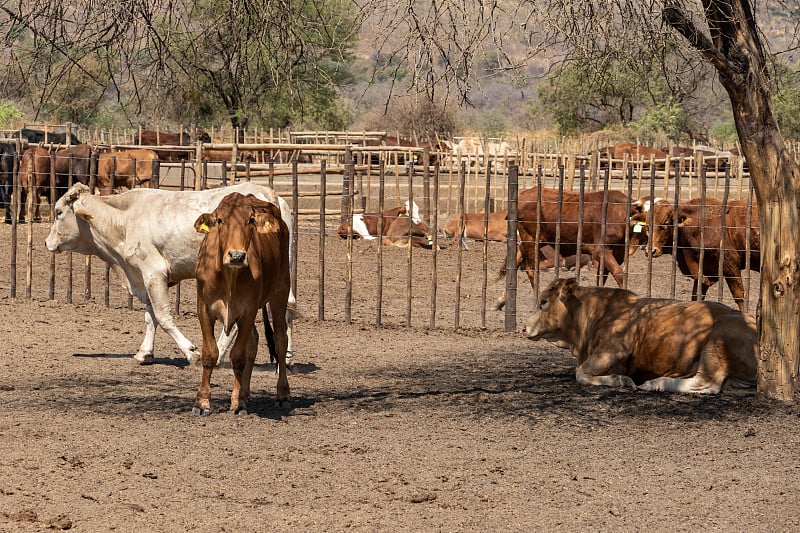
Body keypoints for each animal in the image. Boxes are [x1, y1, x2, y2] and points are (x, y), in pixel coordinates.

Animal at [43, 183, 296, 366]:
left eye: (58, 212)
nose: (47, 243)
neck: (125, 221)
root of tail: (269, 195)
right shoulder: (145, 277)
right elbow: (150, 317)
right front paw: (144, 353)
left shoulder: (154, 273)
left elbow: (163, 316)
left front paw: (191, 352)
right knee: (287, 309)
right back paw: (287, 358)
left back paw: (221, 354)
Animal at [192, 192, 292, 416]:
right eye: (220, 220)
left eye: (251, 220)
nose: (236, 256)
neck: (229, 276)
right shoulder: (204, 308)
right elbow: (209, 354)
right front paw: (202, 402)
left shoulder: (248, 311)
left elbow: (238, 356)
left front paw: (237, 403)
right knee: (253, 342)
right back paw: (245, 393)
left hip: (280, 292)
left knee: (280, 340)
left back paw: (282, 394)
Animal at [524, 276, 756, 392]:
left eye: (543, 301)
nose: (525, 328)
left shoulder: (613, 350)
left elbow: (580, 373)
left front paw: (621, 380)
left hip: (716, 343)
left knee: (708, 383)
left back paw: (654, 384)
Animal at [628, 195, 760, 312]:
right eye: (646, 225)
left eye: (666, 222)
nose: (651, 250)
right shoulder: (705, 270)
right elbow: (696, 295)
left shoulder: (730, 264)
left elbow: (739, 296)